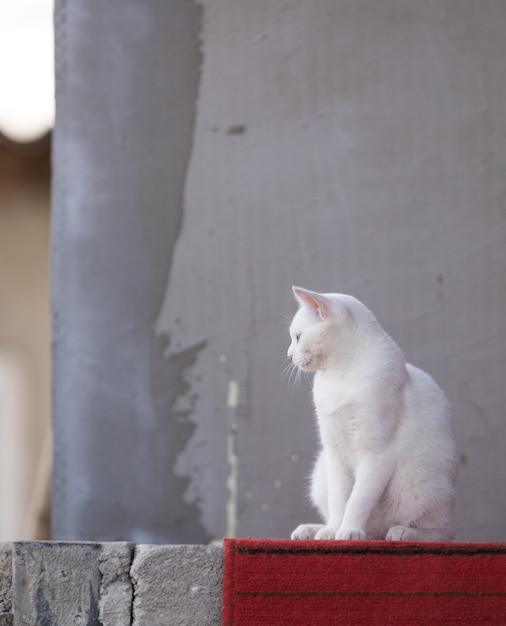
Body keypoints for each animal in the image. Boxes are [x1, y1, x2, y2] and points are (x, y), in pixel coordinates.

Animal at [286, 286, 456, 540]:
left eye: (297, 337)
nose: (288, 354)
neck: (338, 375)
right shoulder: (334, 452)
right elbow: (340, 501)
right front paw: (333, 531)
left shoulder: (377, 454)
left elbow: (358, 500)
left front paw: (348, 531)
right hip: (321, 473)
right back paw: (313, 530)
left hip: (415, 479)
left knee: (442, 533)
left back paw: (401, 532)